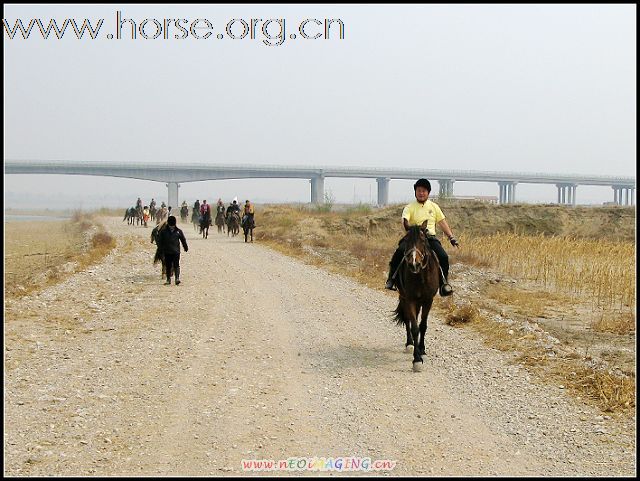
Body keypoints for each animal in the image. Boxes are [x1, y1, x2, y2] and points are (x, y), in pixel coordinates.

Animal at [392, 224, 442, 372]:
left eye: (423, 240)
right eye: (406, 240)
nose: (414, 264)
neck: (420, 276)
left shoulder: (428, 300)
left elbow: (423, 326)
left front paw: (422, 349)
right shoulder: (409, 299)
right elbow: (414, 327)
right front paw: (417, 359)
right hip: (404, 298)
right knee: (408, 319)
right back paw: (410, 344)